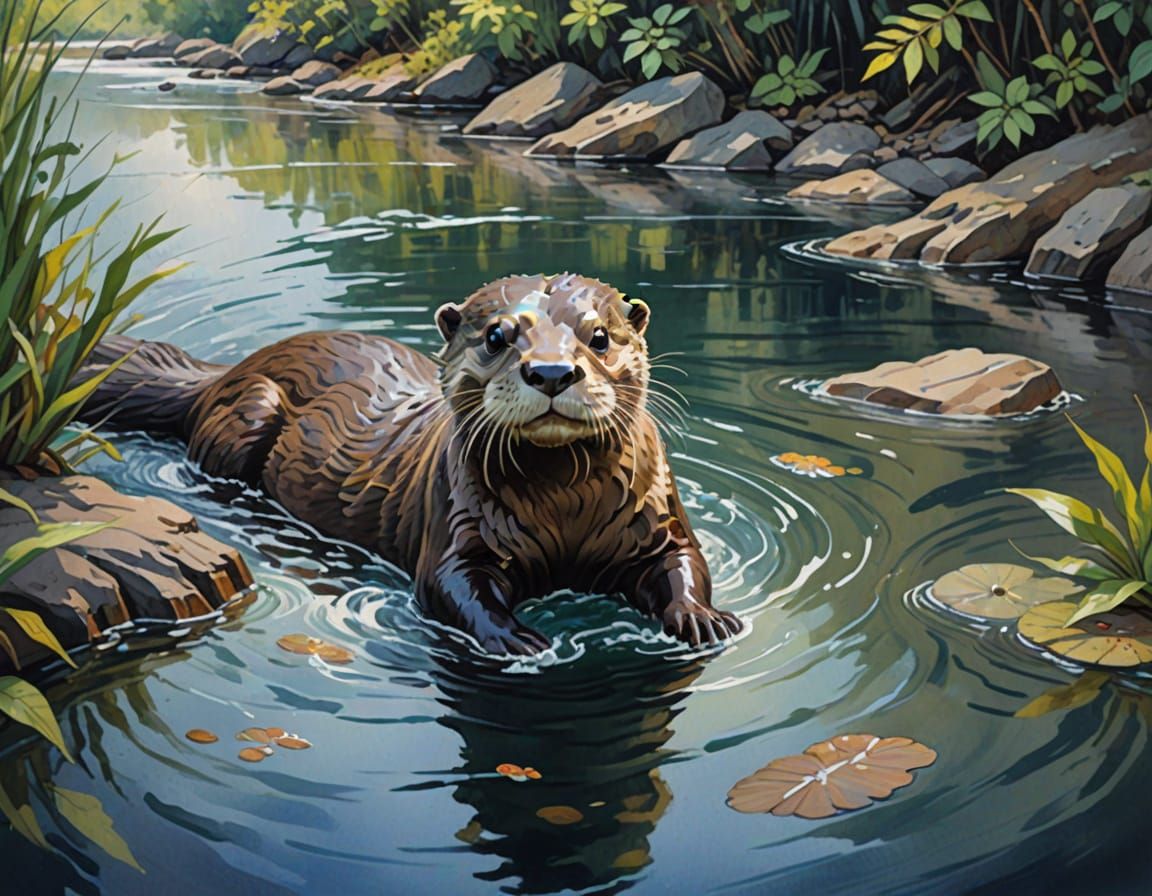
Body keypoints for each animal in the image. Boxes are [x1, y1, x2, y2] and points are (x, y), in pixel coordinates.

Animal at [78, 274, 742, 655]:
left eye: (599, 336)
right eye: (497, 337)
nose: (552, 371)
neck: (565, 512)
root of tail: (223, 373)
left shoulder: (657, 513)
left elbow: (684, 559)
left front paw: (703, 618)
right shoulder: (454, 523)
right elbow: (451, 586)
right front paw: (514, 637)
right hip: (250, 410)